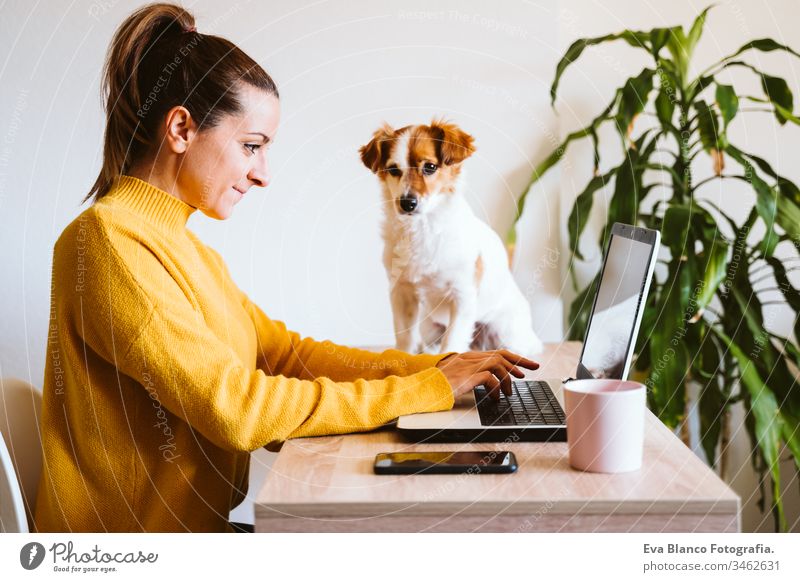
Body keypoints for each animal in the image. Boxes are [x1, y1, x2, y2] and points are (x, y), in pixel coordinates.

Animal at [360, 121, 544, 358]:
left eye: (430, 167)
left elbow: (452, 343)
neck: (423, 229)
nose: (407, 203)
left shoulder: (462, 295)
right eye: (393, 169)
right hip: (429, 328)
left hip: (505, 333)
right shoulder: (401, 293)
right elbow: (405, 338)